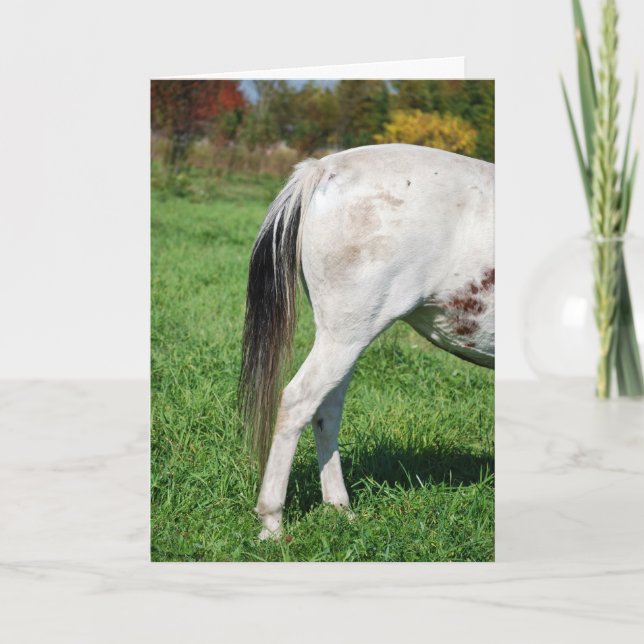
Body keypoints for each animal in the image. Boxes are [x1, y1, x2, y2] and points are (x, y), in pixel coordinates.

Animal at [239, 143, 494, 539]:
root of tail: (324, 169)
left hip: (344, 336)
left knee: (325, 411)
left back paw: (340, 508)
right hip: (346, 337)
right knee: (298, 402)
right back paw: (272, 522)